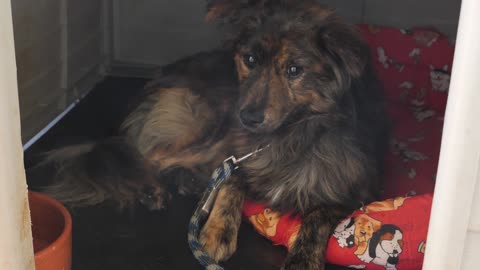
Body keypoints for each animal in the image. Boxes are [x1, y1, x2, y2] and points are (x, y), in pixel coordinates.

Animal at [40, 1, 390, 268]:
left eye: (295, 70)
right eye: (250, 60)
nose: (247, 117)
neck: (292, 132)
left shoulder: (353, 190)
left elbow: (317, 217)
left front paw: (302, 259)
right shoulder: (235, 150)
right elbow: (232, 182)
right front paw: (215, 232)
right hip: (207, 122)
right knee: (147, 154)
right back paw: (153, 188)